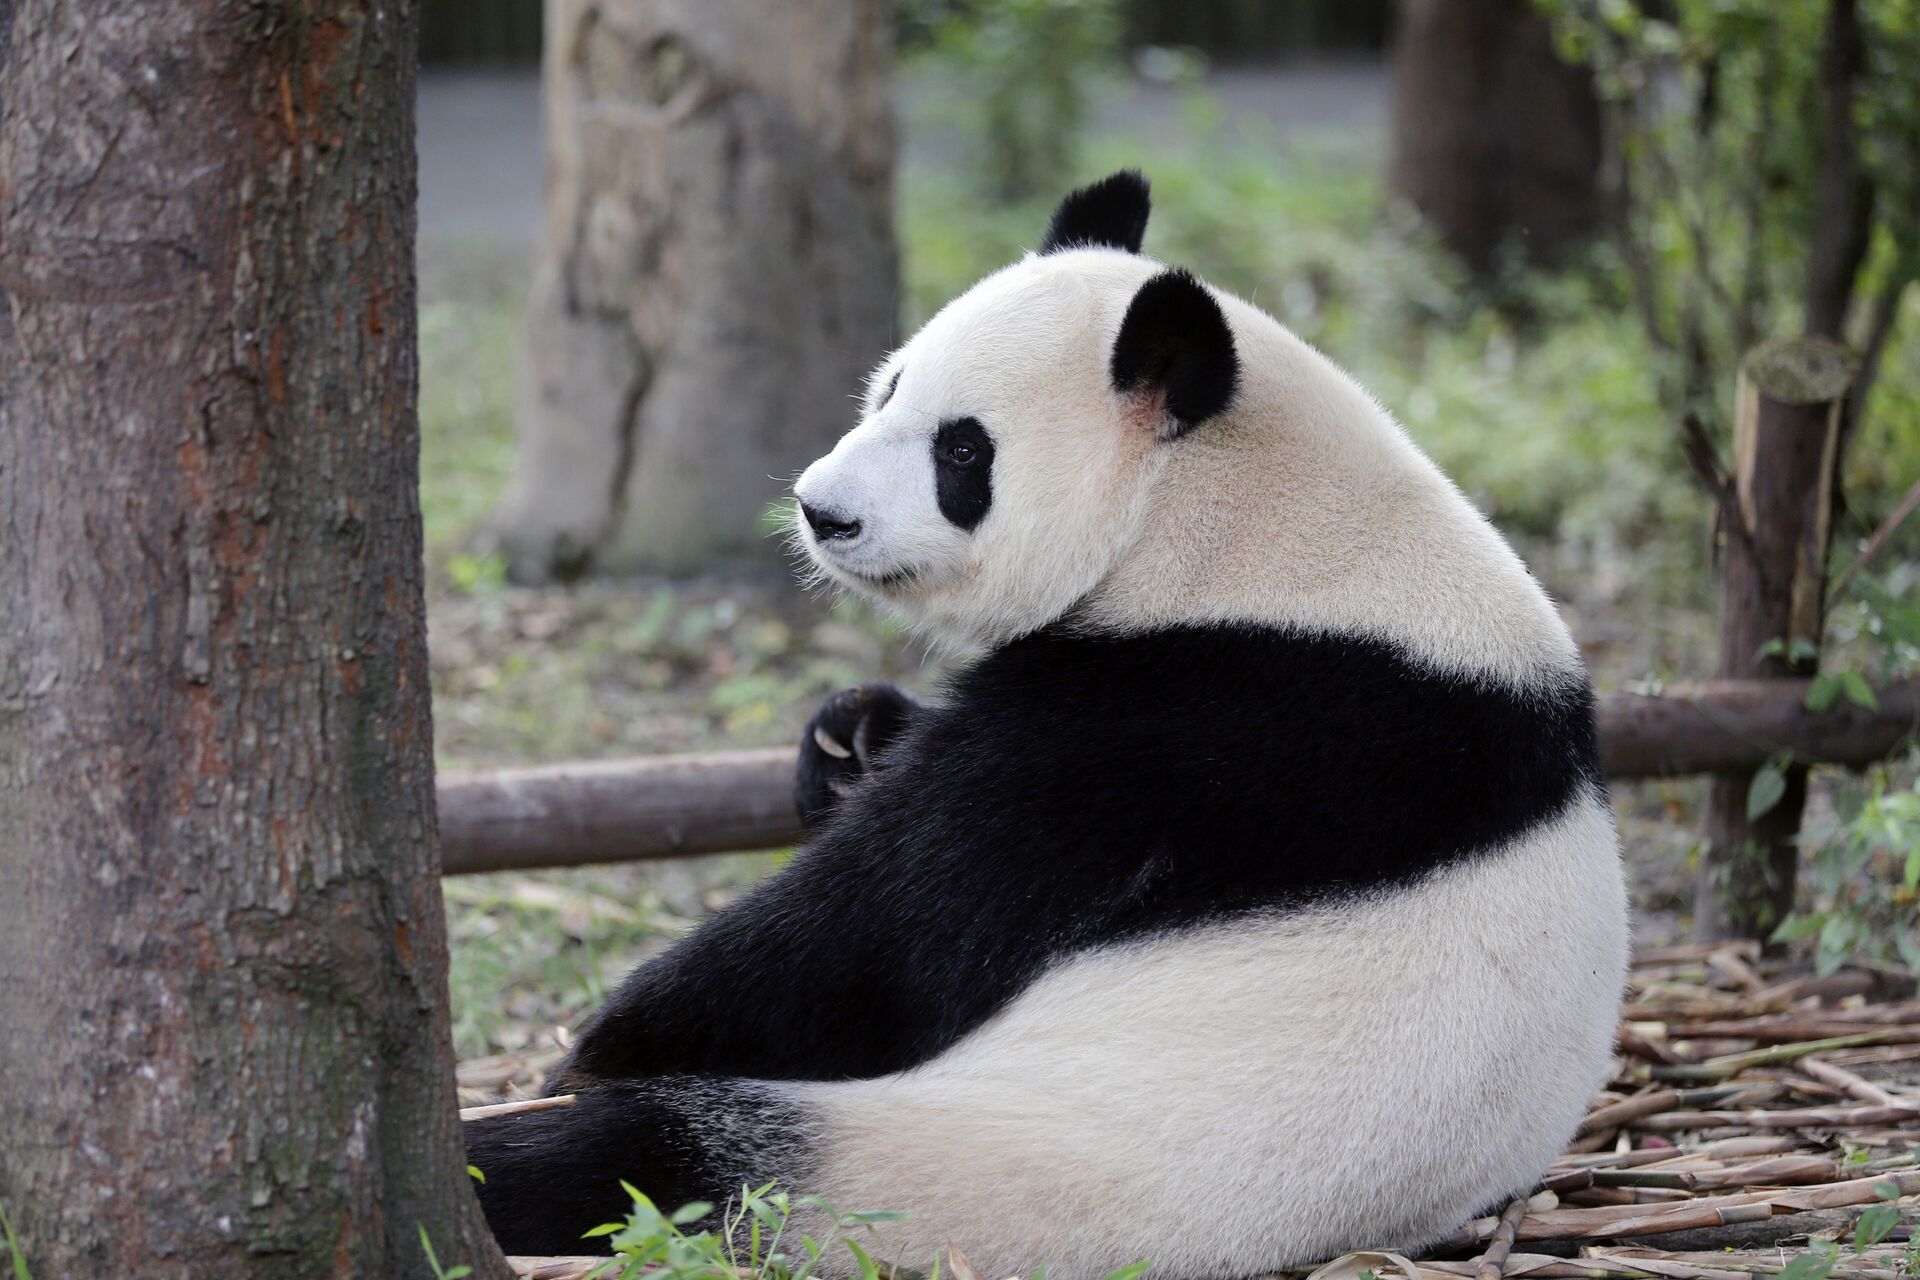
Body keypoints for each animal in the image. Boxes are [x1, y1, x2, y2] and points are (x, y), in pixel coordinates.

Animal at [464, 172, 1620, 1280]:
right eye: (892, 382)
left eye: (961, 451)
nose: (821, 511)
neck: (1241, 523)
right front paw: (847, 736)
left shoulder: (1194, 721)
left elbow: (878, 934)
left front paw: (597, 1049)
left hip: (952, 1159)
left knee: (641, 1163)